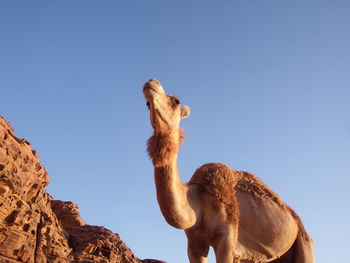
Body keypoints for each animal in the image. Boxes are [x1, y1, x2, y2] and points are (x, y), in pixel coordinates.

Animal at [142, 79, 314, 262]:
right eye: (147, 104)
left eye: (176, 101)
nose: (151, 82)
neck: (196, 199)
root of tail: (298, 223)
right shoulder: (194, 243)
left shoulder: (227, 235)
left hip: (304, 243)